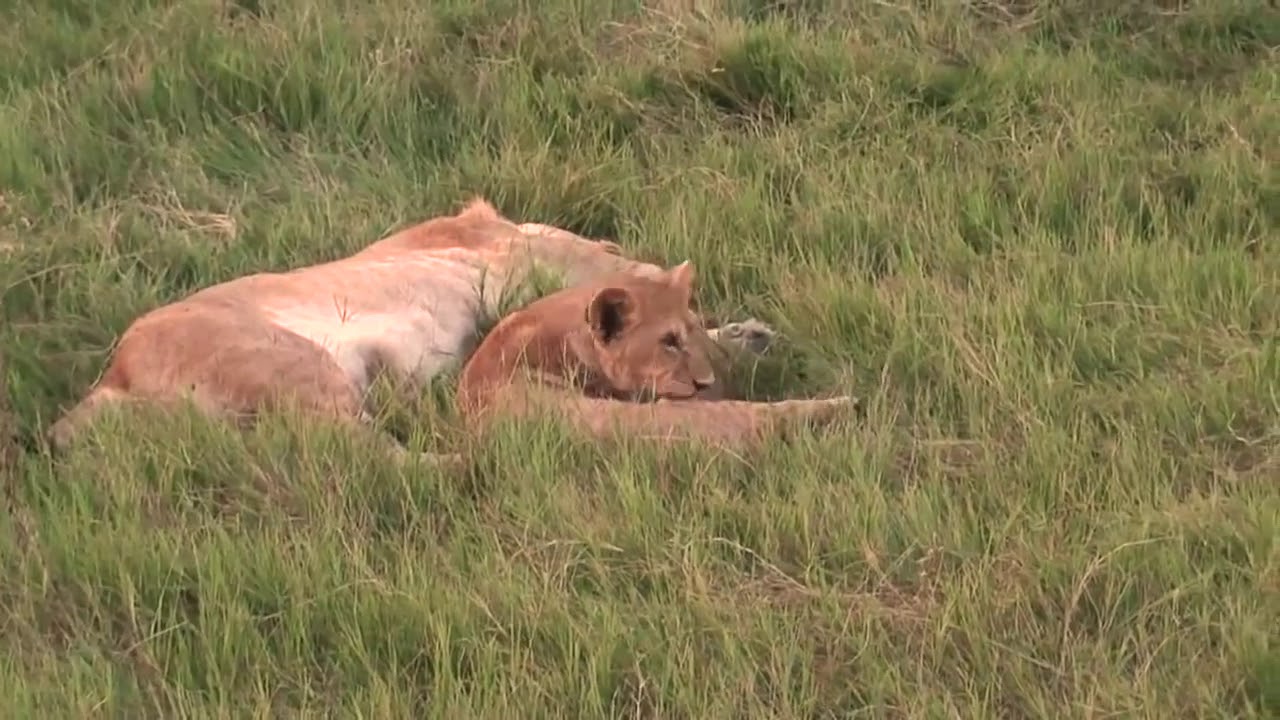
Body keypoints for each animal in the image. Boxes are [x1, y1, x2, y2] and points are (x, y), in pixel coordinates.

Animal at [45, 199, 778, 455]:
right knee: (374, 459)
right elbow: (627, 275)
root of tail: (112, 376)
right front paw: (738, 339)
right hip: (299, 367)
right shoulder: (526, 260)